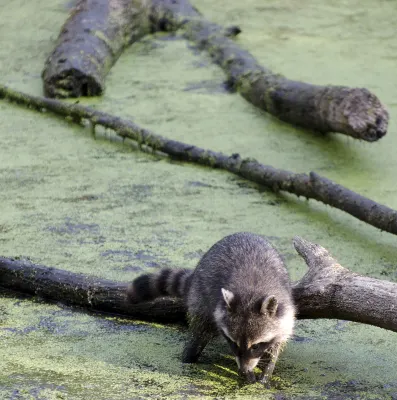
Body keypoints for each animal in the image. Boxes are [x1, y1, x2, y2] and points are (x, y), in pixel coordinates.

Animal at [127, 233, 294, 386]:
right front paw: (249, 374)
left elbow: (275, 348)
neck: (252, 293)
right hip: (200, 297)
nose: (243, 370)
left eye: (256, 346)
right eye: (234, 343)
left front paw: (266, 374)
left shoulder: (285, 314)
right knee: (199, 332)